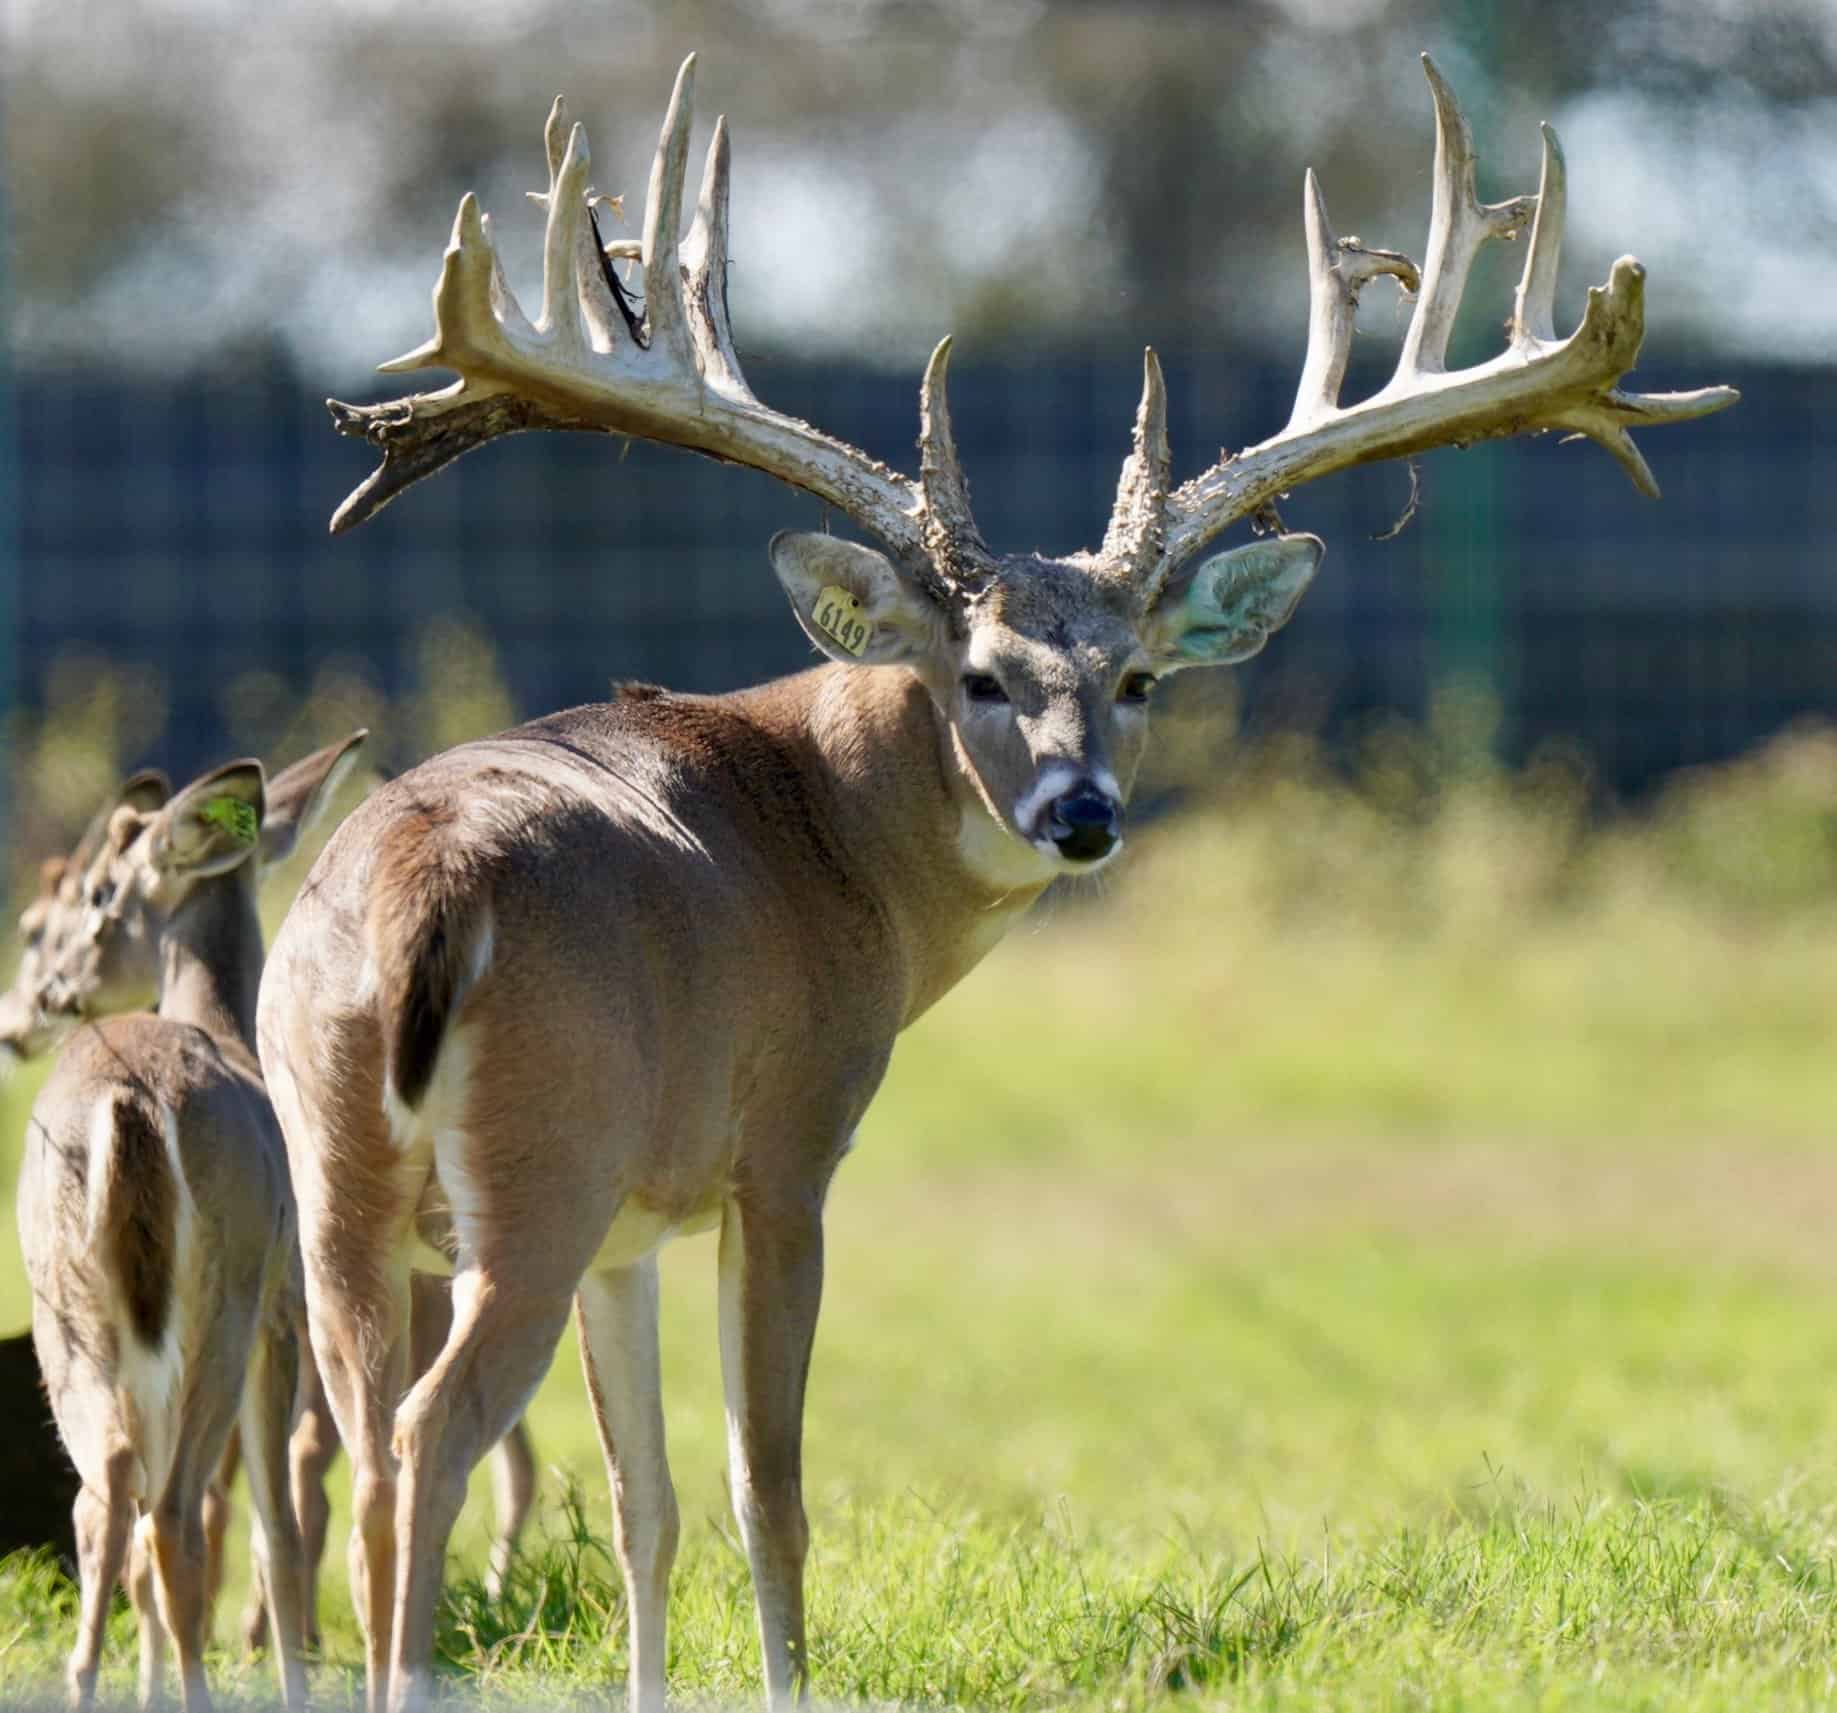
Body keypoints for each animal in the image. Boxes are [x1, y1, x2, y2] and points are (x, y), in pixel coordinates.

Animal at [258, 52, 1737, 1713]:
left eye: (1142, 678)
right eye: (978, 674)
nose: (1081, 813)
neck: (815, 824)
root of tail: (416, 896)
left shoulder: (636, 1227)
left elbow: (647, 1503)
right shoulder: (784, 1145)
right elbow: (767, 1485)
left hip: (342, 1170)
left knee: (346, 1448)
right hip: (540, 1158)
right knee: (425, 1436)